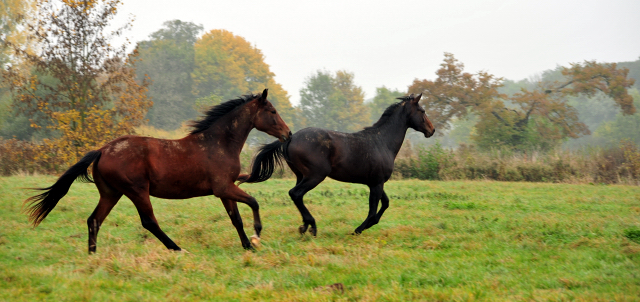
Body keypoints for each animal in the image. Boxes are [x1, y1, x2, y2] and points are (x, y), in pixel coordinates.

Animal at [26, 89, 292, 252]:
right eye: (272, 111)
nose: (288, 134)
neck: (218, 143)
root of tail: (102, 150)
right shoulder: (223, 188)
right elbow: (254, 202)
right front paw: (257, 237)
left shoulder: (225, 190)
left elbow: (235, 218)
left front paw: (247, 246)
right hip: (137, 191)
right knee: (149, 222)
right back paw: (178, 249)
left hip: (111, 193)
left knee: (94, 220)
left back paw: (92, 256)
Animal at [240, 94, 436, 236]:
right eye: (422, 110)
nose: (432, 130)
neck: (382, 142)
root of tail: (289, 138)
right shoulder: (377, 183)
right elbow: (373, 210)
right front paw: (358, 229)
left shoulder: (375, 182)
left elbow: (385, 203)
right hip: (315, 176)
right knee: (295, 193)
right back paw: (312, 226)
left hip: (301, 175)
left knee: (296, 195)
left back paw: (304, 226)